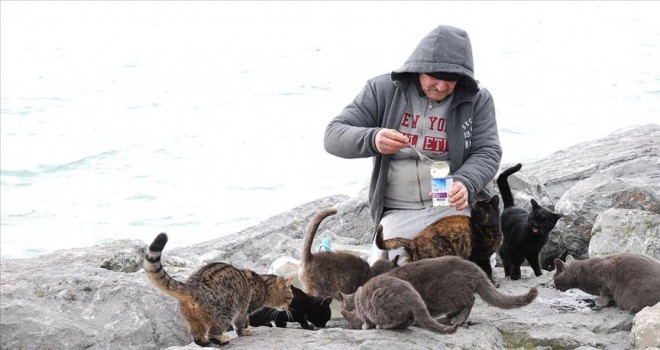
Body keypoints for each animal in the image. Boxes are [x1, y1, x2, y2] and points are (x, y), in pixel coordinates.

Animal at [144, 232, 294, 348]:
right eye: (289, 298)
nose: (288, 307)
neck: (263, 285)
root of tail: (192, 286)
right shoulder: (243, 309)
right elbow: (241, 324)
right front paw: (245, 331)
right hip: (225, 311)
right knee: (213, 333)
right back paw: (222, 340)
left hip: (192, 320)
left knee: (197, 337)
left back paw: (204, 342)